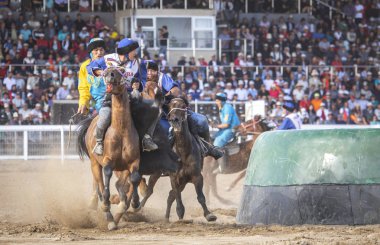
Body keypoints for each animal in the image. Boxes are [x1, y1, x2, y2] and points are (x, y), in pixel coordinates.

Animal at [77, 66, 141, 230]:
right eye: (105, 71)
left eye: (120, 70)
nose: (109, 75)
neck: (121, 130)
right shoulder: (108, 161)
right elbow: (106, 180)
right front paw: (107, 208)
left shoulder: (133, 161)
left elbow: (135, 178)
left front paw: (135, 202)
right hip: (94, 163)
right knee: (100, 186)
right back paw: (109, 218)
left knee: (120, 184)